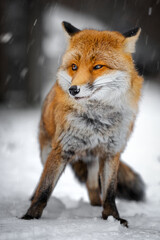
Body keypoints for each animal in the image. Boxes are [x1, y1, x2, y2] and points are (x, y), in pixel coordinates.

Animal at [21, 21, 145, 227]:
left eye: (98, 66)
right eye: (74, 66)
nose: (73, 89)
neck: (96, 121)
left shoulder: (112, 152)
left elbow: (110, 192)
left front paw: (112, 218)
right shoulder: (61, 149)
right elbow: (45, 189)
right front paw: (29, 218)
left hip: (95, 161)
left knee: (93, 188)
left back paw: (95, 206)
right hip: (46, 152)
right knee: (40, 181)